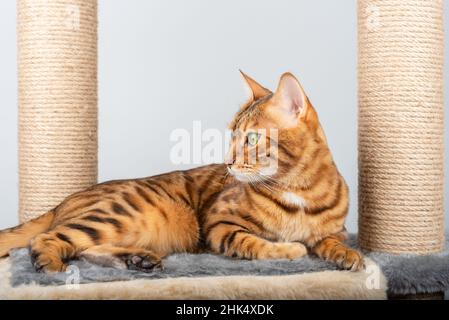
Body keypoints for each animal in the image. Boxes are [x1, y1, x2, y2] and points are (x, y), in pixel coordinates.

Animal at [0, 72, 364, 272]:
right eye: (232, 134)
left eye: (251, 138)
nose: (228, 161)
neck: (299, 189)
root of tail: (62, 202)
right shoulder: (220, 223)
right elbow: (256, 243)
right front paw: (290, 249)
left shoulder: (336, 230)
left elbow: (333, 241)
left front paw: (349, 256)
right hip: (123, 214)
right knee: (44, 239)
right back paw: (49, 265)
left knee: (86, 249)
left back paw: (137, 261)